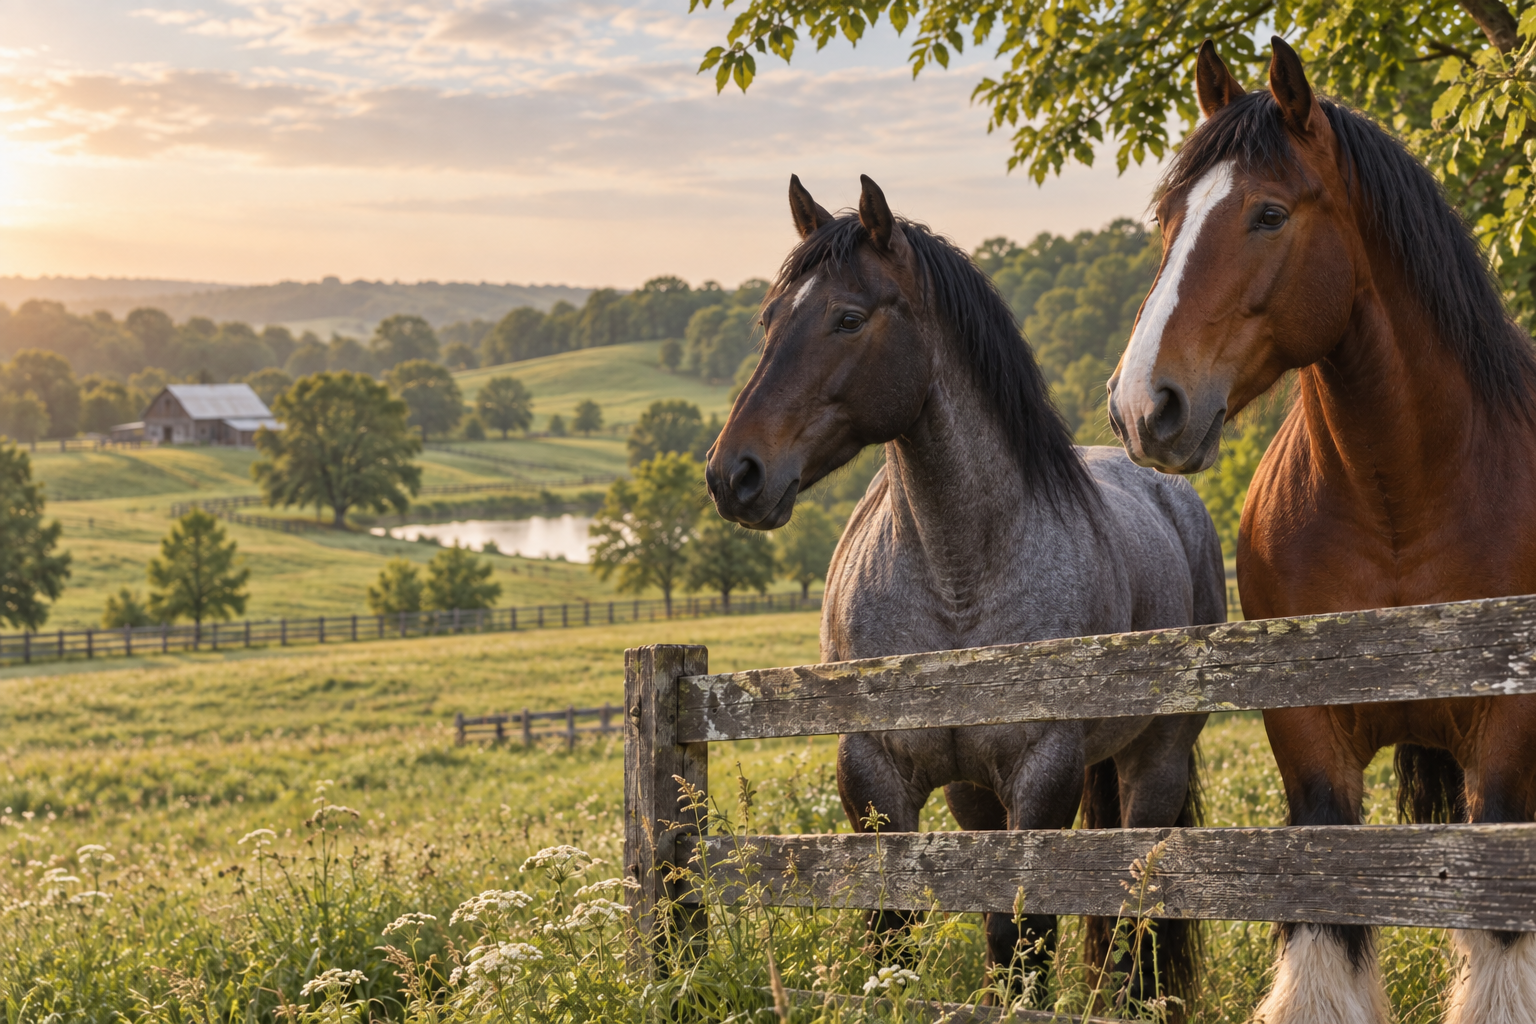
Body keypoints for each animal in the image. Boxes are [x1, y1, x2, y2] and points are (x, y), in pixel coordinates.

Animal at [704, 173, 1226, 1012]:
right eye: (769, 318)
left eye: (848, 317)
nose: (734, 474)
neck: (957, 581)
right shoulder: (877, 775)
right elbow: (901, 930)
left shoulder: (1043, 775)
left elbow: (1028, 938)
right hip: (982, 793)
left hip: (1157, 761)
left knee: (1135, 911)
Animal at [1106, 35, 1536, 1024]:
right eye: (1169, 218)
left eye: (1268, 214)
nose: (1144, 406)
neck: (1402, 499)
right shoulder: (1307, 739)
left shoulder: (1506, 734)